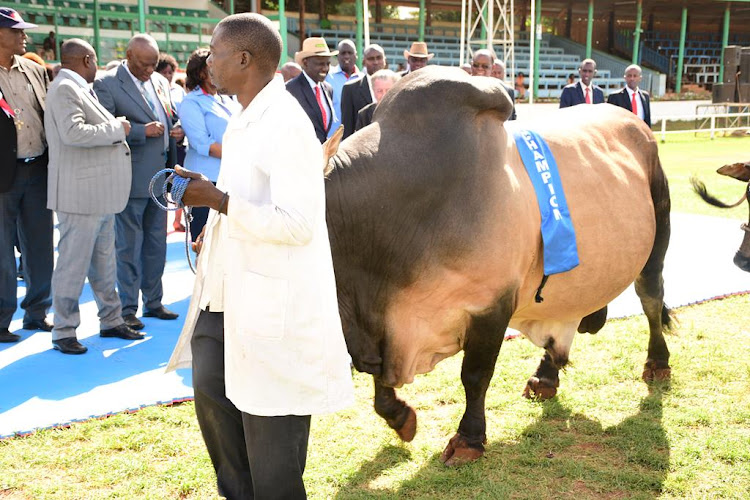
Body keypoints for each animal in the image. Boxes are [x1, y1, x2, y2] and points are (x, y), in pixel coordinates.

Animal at [324, 66, 676, 464]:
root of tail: (637, 124)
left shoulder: (491, 305)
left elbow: (475, 375)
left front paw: (468, 438)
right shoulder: (382, 331)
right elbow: (378, 377)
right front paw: (400, 416)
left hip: (657, 239)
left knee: (651, 299)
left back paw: (657, 363)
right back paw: (546, 376)